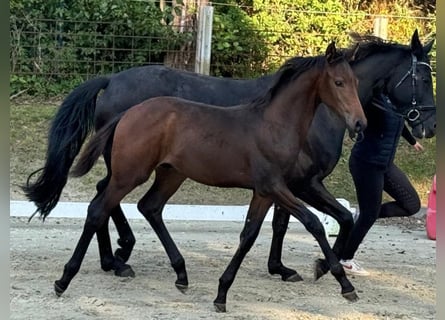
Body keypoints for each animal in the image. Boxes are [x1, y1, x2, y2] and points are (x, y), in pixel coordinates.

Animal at [53, 41, 364, 312]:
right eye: (338, 82)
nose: (360, 123)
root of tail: (129, 112)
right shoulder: (279, 186)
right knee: (98, 209)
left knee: (149, 206)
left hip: (170, 175)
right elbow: (314, 224)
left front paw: (222, 293)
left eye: (356, 82)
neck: (273, 125)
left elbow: (249, 235)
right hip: (129, 174)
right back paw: (68, 278)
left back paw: (179, 273)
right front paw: (342, 282)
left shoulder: (265, 191)